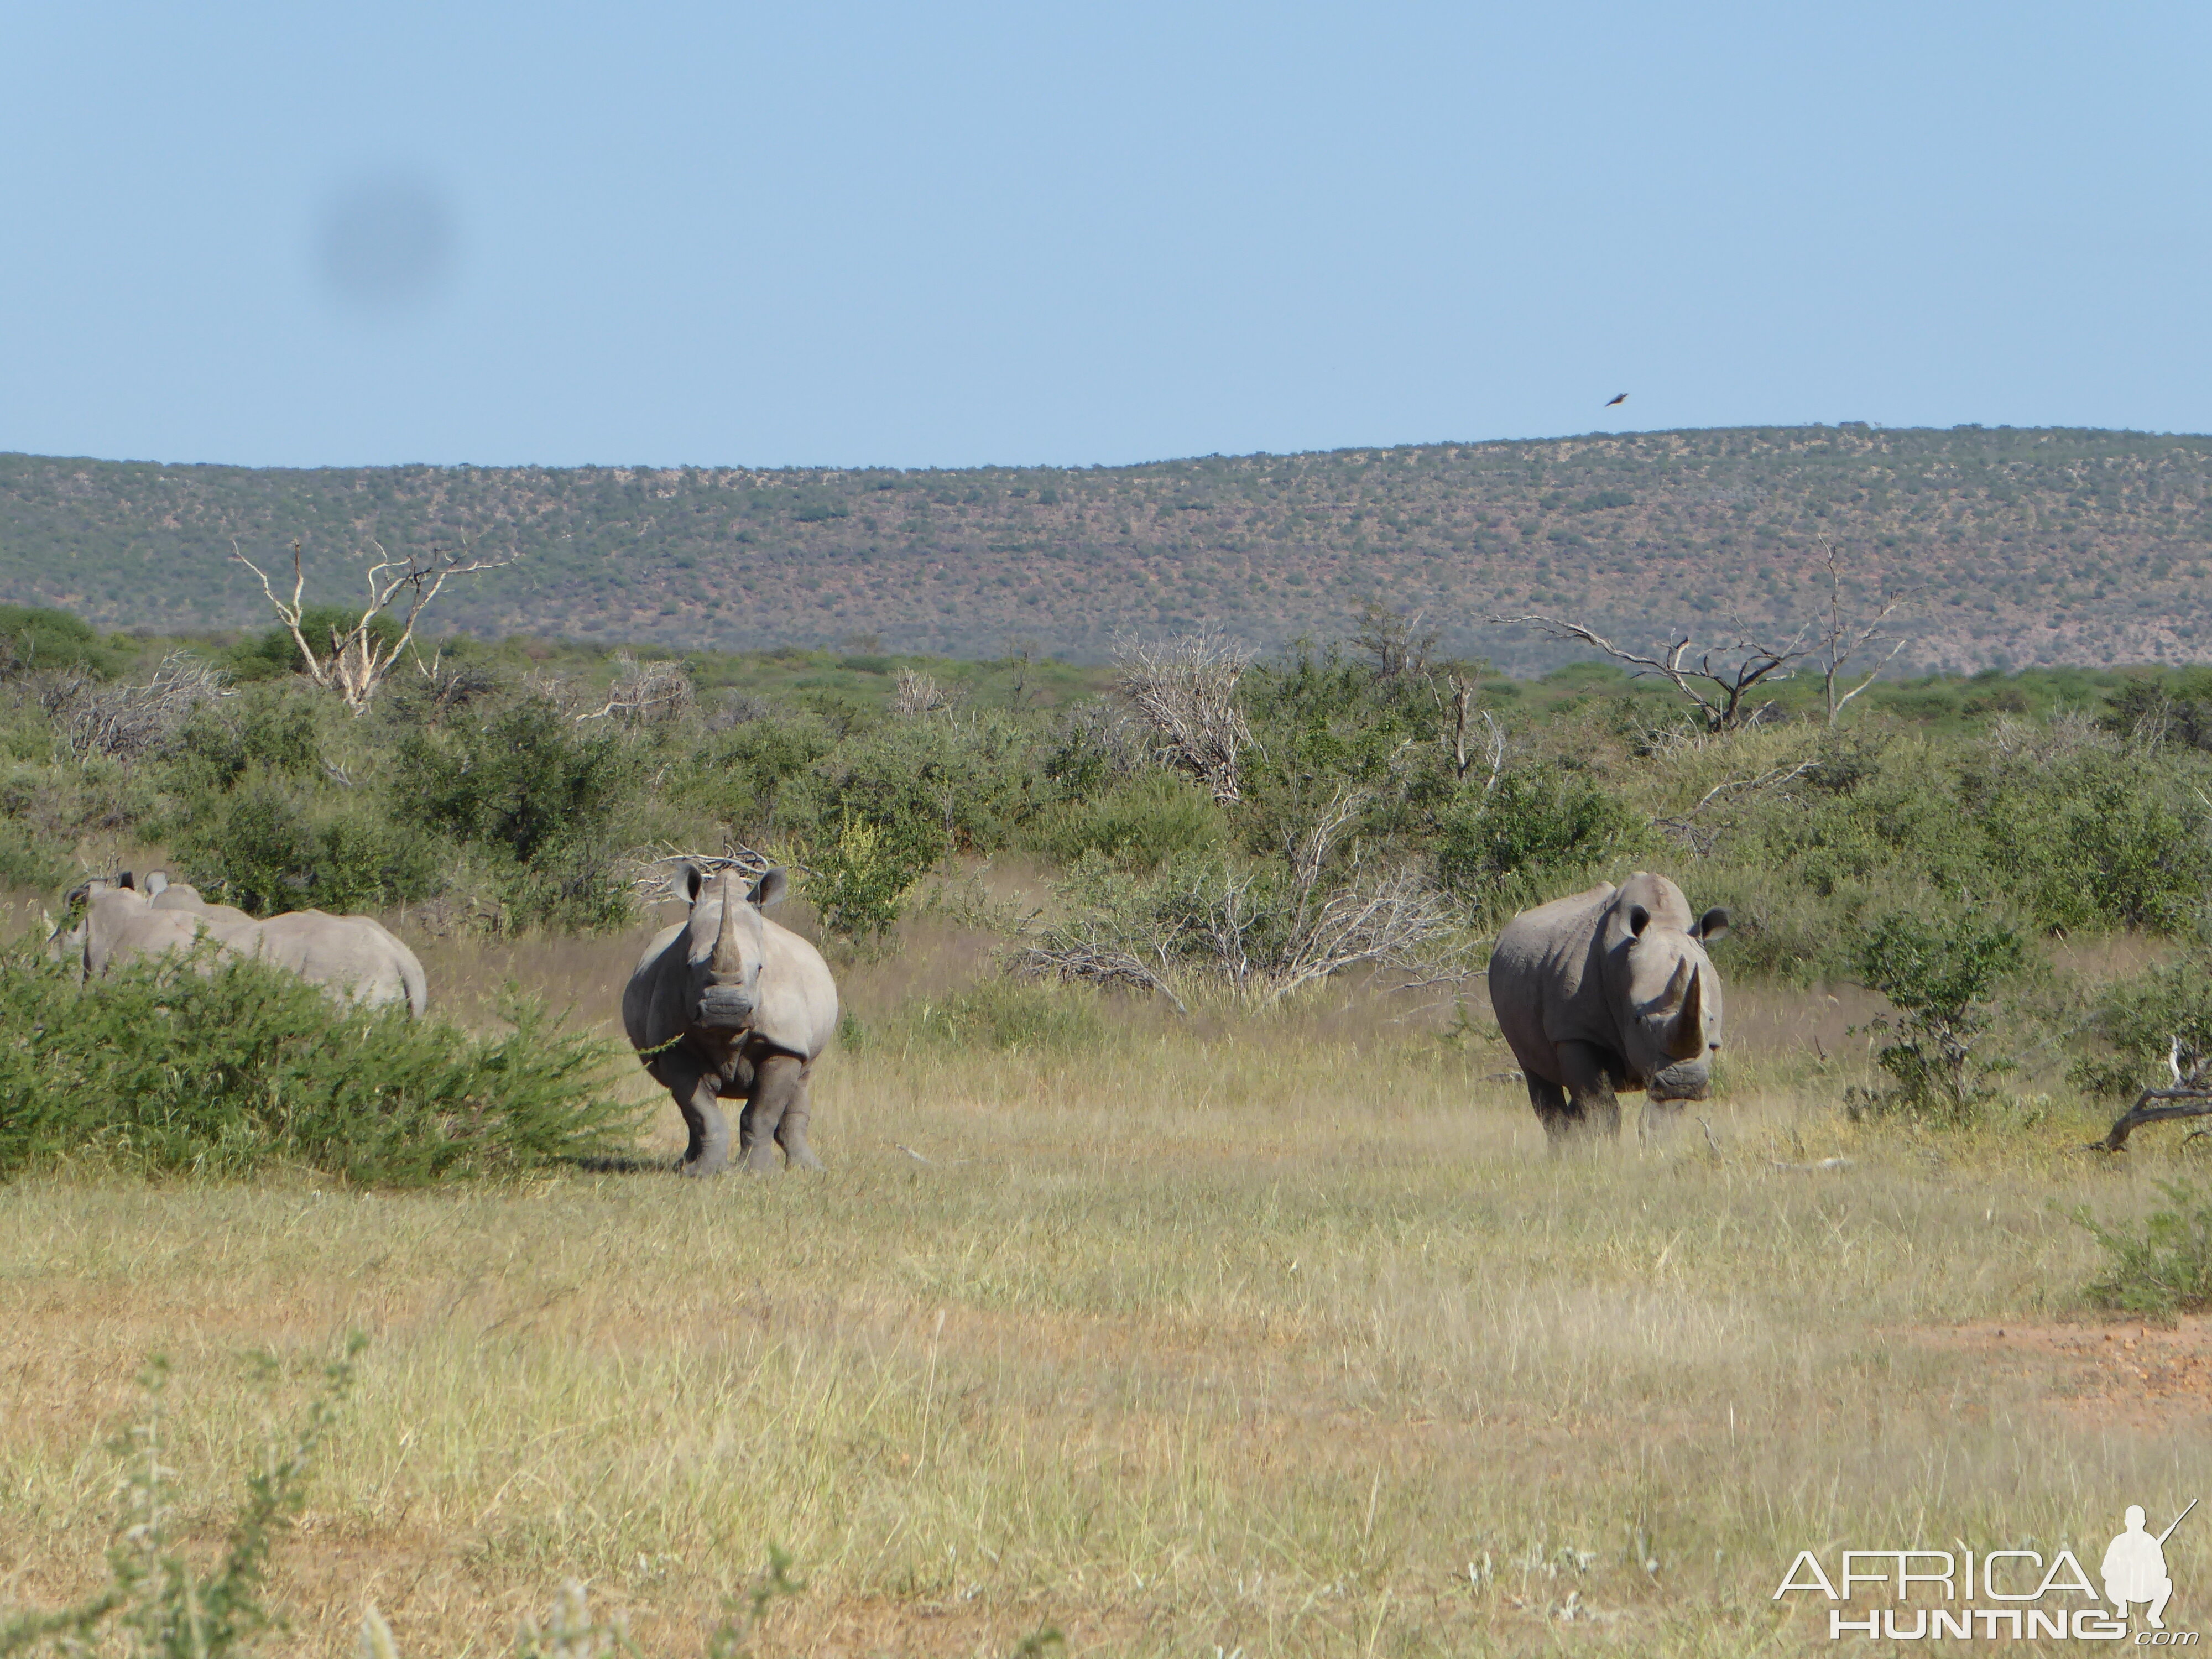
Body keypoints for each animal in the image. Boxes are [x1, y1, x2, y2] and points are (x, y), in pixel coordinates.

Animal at [628, 863, 841, 1177]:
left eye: (761, 968)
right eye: (689, 965)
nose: (725, 1009)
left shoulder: (783, 1042)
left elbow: (762, 1112)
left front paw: (759, 1174)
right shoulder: (672, 1044)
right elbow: (702, 1113)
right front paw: (705, 1173)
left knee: (803, 1077)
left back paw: (810, 1171)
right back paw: (684, 1166)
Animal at [1486, 872, 1725, 1141]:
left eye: (1711, 1020)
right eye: (1638, 1020)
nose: (1685, 1083)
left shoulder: (1678, 1062)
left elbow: (1659, 1117)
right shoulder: (1576, 1033)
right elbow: (1601, 1110)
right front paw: (1604, 1149)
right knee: (1538, 1077)